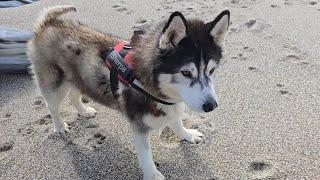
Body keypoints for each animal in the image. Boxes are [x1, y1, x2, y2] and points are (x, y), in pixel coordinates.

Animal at [26, 6, 229, 179]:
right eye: (186, 72)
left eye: (212, 70)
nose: (211, 106)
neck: (150, 84)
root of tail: (48, 24)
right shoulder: (139, 127)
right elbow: (146, 157)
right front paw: (153, 175)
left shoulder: (172, 104)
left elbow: (176, 121)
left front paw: (186, 134)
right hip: (54, 85)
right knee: (52, 106)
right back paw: (60, 125)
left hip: (77, 79)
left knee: (74, 95)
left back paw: (84, 111)